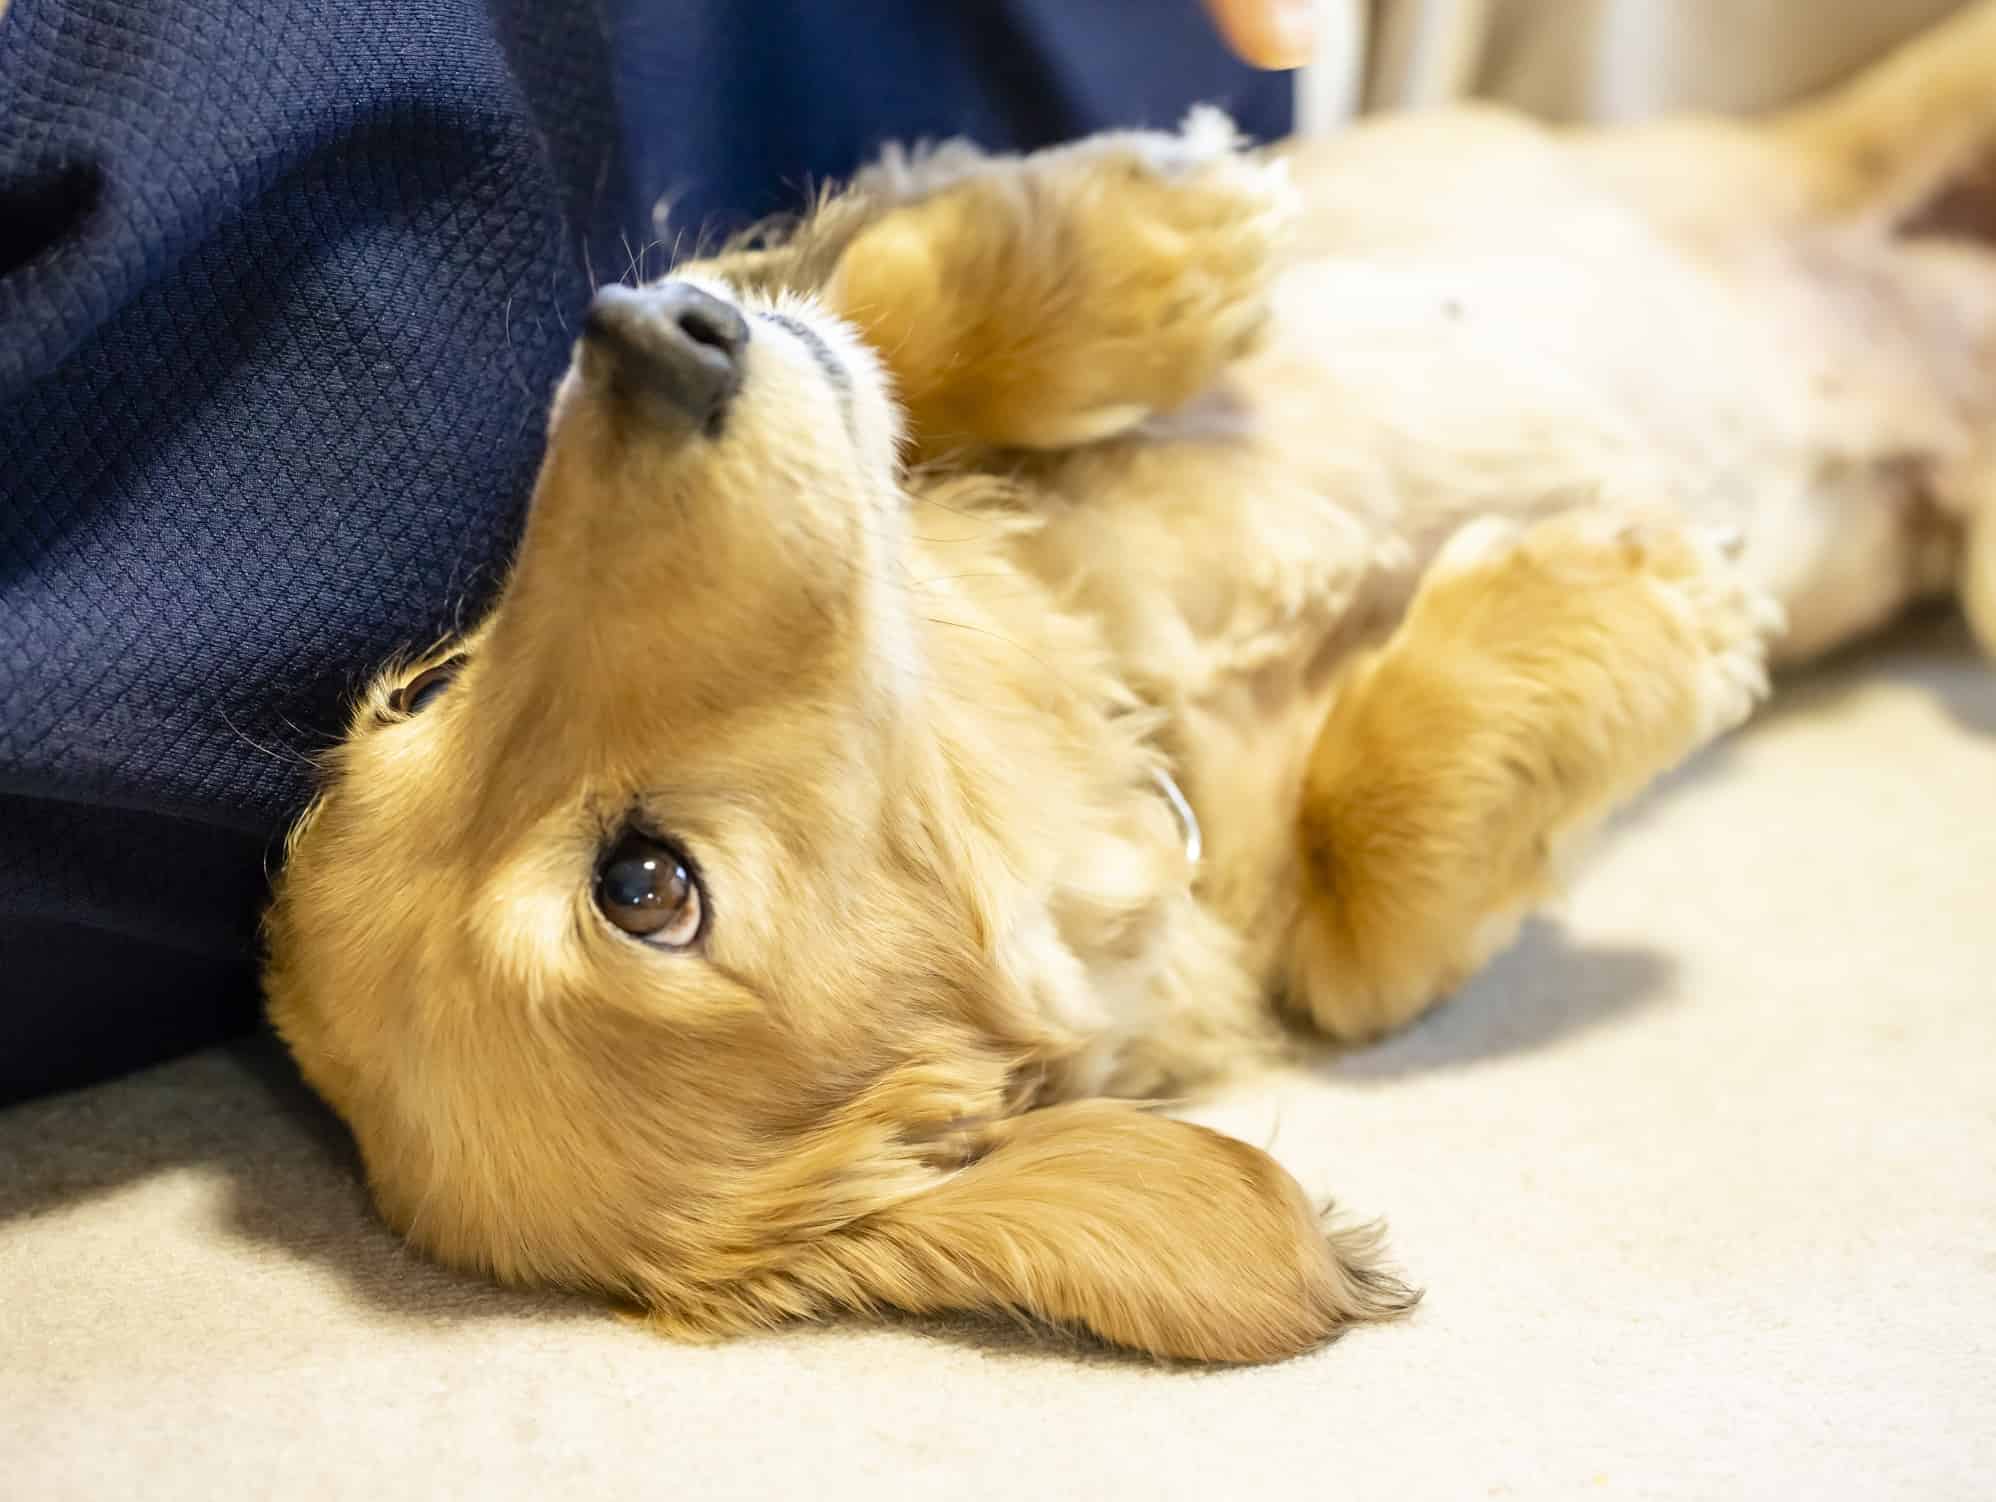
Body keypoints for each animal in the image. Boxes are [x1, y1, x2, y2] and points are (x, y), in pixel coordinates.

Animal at [261, 5, 1996, 1356]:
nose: (643, 334)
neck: (1129, 701)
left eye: (421, 696)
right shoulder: (1333, 955)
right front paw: (1628, 592)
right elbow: (1369, 909)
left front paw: (1164, 234)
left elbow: (885, 304)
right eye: (643, 885)